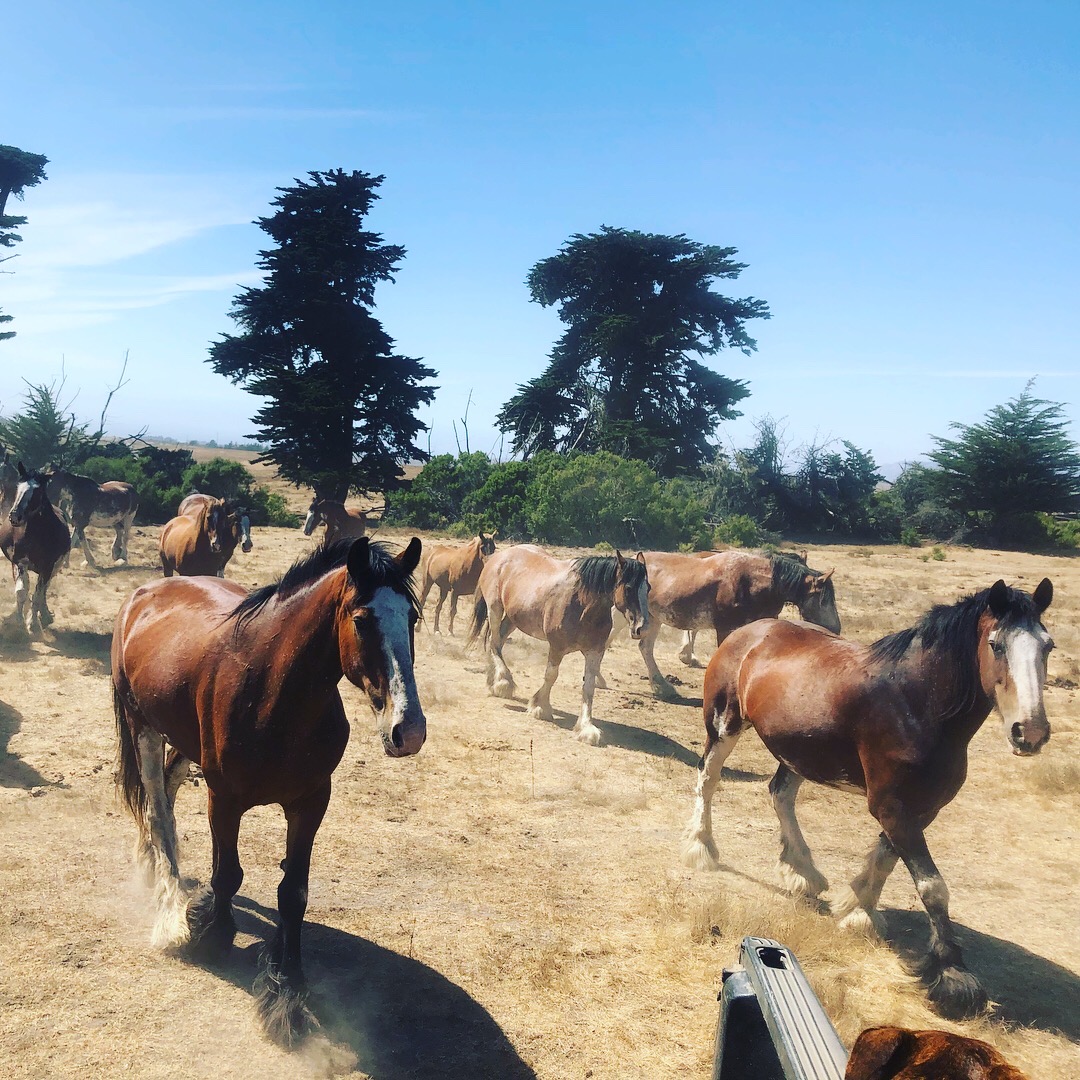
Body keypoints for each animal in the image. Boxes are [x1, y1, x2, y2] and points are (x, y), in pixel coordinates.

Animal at [0, 464, 71, 633]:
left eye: (37, 491)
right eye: (18, 486)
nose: (15, 516)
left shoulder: (48, 567)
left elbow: (38, 594)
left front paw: (32, 622)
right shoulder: (20, 562)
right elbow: (21, 592)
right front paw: (19, 621)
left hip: (55, 567)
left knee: (44, 589)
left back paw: (44, 616)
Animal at [112, 536, 425, 1046]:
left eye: (412, 618)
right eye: (361, 620)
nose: (409, 730)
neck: (272, 693)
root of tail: (144, 594)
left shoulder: (311, 802)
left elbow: (293, 893)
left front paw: (288, 986)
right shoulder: (224, 799)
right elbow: (228, 875)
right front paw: (213, 936)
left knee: (169, 793)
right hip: (142, 726)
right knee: (157, 808)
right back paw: (170, 902)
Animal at [469, 545, 649, 745]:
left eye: (648, 588)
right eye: (629, 588)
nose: (641, 628)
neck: (582, 603)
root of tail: (499, 556)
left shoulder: (594, 652)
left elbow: (589, 687)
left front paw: (586, 728)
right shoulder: (557, 647)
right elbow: (551, 676)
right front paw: (540, 707)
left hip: (512, 618)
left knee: (497, 642)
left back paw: (493, 681)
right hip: (495, 609)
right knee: (494, 643)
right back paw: (504, 682)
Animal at [612, 549, 839, 699]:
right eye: (824, 599)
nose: (836, 628)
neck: (750, 582)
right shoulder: (725, 628)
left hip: (653, 619)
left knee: (645, 648)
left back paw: (661, 686)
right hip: (627, 617)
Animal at [683, 578, 1054, 1020]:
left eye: (1048, 646)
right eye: (996, 645)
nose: (1029, 733)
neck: (916, 702)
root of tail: (748, 632)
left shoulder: (921, 808)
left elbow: (885, 858)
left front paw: (858, 909)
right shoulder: (892, 806)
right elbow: (932, 886)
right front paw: (953, 977)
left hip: (800, 751)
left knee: (780, 794)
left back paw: (802, 870)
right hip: (724, 725)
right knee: (708, 779)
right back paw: (702, 848)